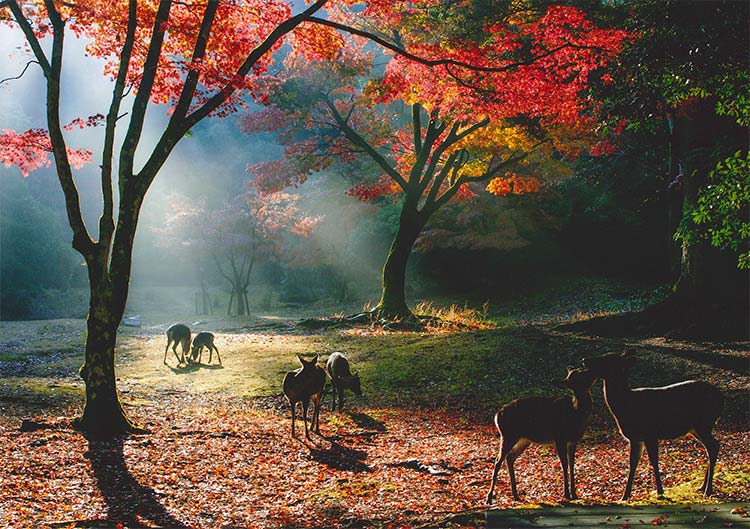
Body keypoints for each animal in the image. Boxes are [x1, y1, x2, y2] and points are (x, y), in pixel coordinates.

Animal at [488, 366, 600, 502]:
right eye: (580, 375)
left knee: (510, 457)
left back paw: (515, 495)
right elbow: (565, 465)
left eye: (580, 370)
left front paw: (574, 494)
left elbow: (572, 465)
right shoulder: (559, 437)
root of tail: (497, 415)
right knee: (498, 460)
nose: (593, 370)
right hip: (508, 435)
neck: (576, 413)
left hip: (524, 439)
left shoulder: (573, 440)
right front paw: (566, 494)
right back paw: (489, 497)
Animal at [584, 350, 724, 500]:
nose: (585, 360)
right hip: (696, 428)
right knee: (713, 446)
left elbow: (654, 461)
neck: (626, 404)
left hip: (703, 423)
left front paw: (660, 491)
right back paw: (702, 486)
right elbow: (633, 463)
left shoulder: (650, 433)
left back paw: (708, 490)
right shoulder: (635, 438)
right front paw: (624, 496)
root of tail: (721, 398)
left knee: (713, 446)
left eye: (607, 359)